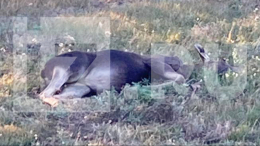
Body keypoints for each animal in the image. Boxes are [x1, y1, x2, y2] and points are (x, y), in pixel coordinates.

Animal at [39, 44, 240, 106]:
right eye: (222, 61)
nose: (234, 70)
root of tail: (44, 70)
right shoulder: (155, 63)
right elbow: (179, 79)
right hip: (71, 68)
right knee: (44, 94)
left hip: (81, 87)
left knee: (58, 95)